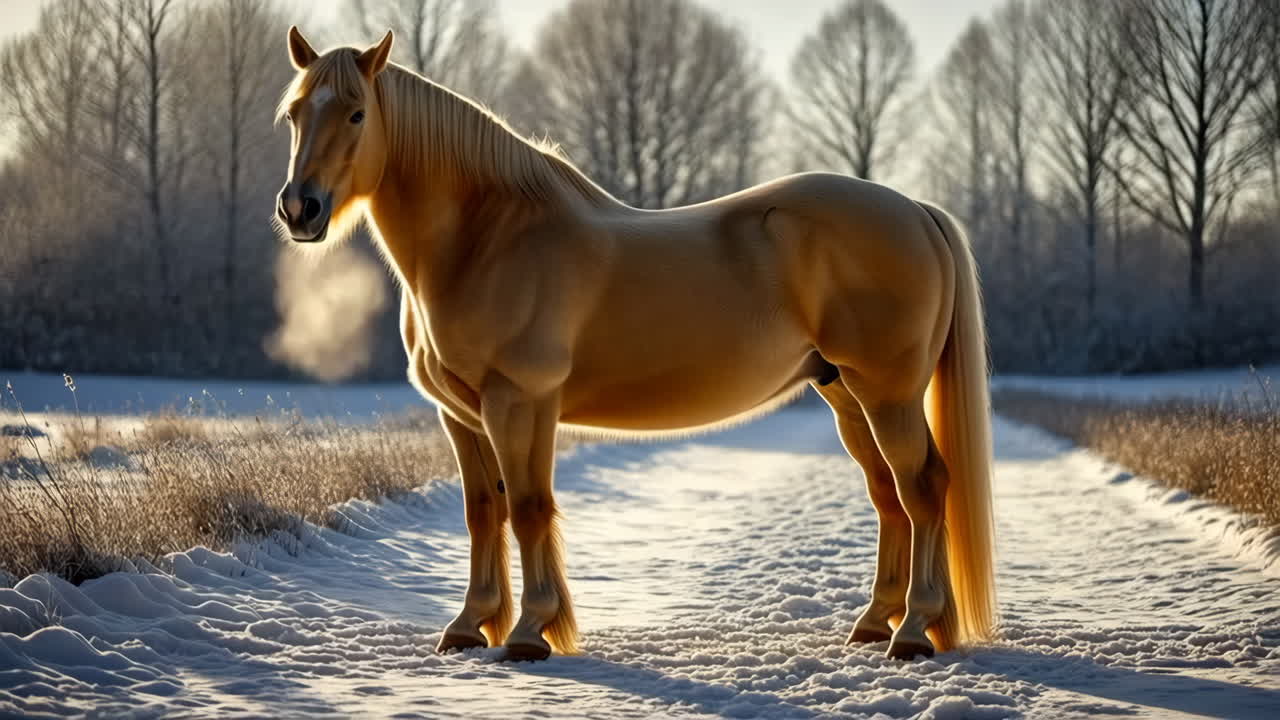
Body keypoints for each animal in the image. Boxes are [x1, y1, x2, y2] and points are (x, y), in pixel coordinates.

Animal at [274, 27, 996, 662]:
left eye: (357, 113)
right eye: (294, 114)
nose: (299, 209)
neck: (488, 238)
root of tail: (916, 211)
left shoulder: (520, 402)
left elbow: (529, 509)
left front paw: (530, 633)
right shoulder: (460, 414)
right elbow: (484, 512)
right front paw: (469, 626)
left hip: (887, 393)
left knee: (922, 489)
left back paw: (914, 632)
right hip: (845, 393)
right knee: (890, 496)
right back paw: (877, 624)